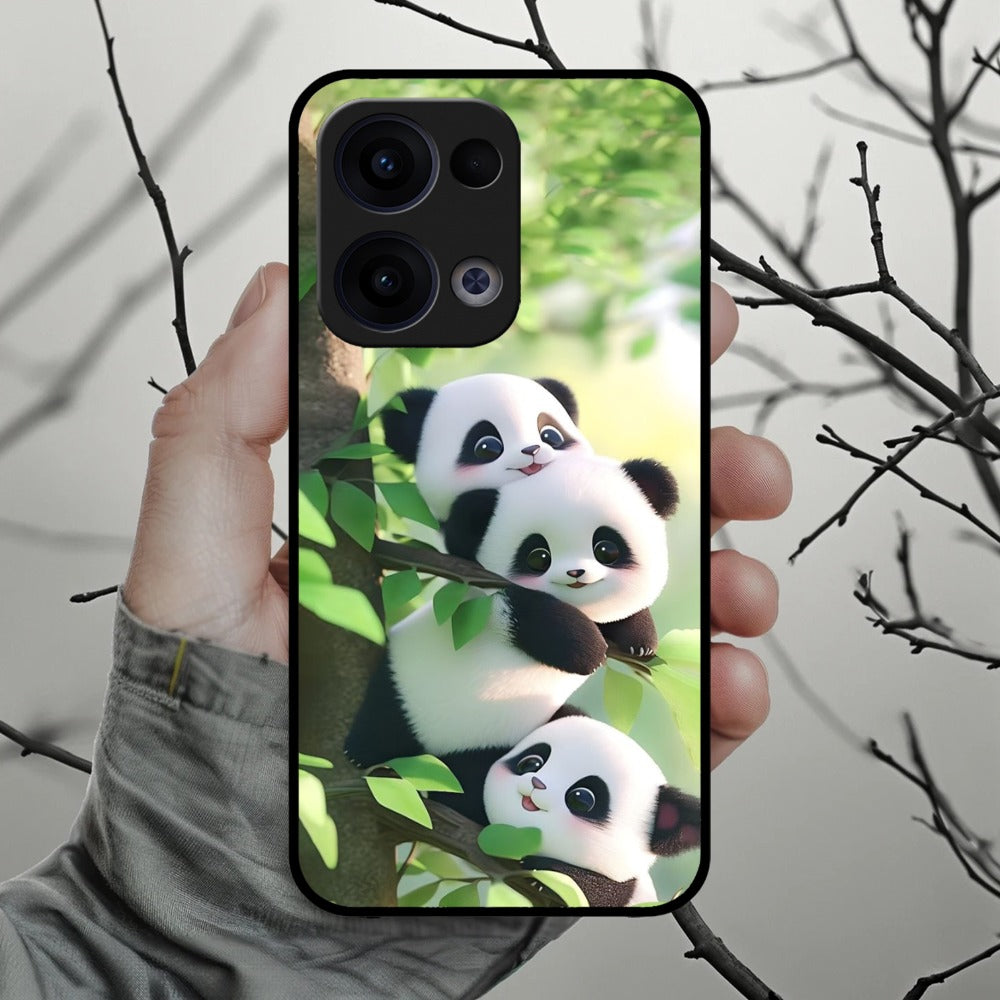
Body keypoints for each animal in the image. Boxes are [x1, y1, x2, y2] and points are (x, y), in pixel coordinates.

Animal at [345, 453, 679, 823]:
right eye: (538, 556)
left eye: (606, 547)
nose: (575, 574)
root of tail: (431, 748)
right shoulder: (487, 596)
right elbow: (535, 615)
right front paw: (589, 650)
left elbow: (623, 617)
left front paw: (641, 640)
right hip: (406, 681)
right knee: (386, 712)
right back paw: (361, 751)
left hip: (488, 742)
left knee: (473, 775)